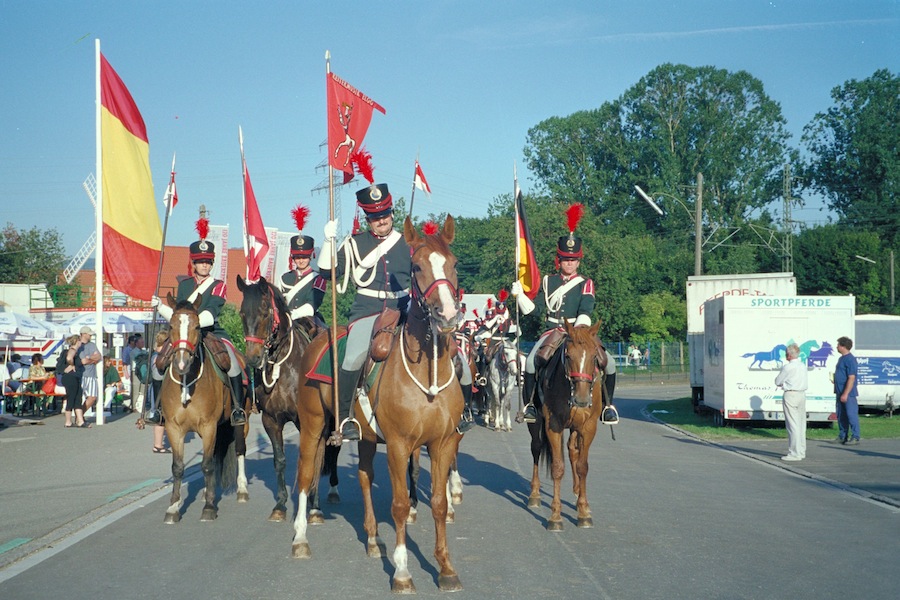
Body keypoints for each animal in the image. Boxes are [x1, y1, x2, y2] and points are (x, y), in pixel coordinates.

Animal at [157, 298, 243, 524]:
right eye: (171, 326)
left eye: (197, 326)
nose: (181, 363)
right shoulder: (174, 428)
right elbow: (178, 467)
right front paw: (173, 507)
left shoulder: (209, 426)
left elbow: (207, 465)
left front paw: (209, 508)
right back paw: (206, 492)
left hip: (240, 422)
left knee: (239, 450)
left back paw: (242, 490)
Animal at [236, 274, 342, 524]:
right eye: (242, 313)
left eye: (265, 311)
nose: (253, 358)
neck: (284, 366)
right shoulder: (271, 420)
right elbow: (280, 460)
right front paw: (280, 505)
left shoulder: (308, 421)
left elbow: (313, 459)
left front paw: (314, 508)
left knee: (332, 453)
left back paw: (332, 490)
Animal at [528, 322, 612, 532]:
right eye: (567, 356)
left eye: (594, 356)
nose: (581, 400)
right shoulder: (553, 425)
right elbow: (558, 467)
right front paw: (555, 516)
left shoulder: (588, 427)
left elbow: (582, 466)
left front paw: (583, 512)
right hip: (536, 423)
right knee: (536, 447)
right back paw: (534, 494)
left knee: (573, 451)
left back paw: (578, 496)